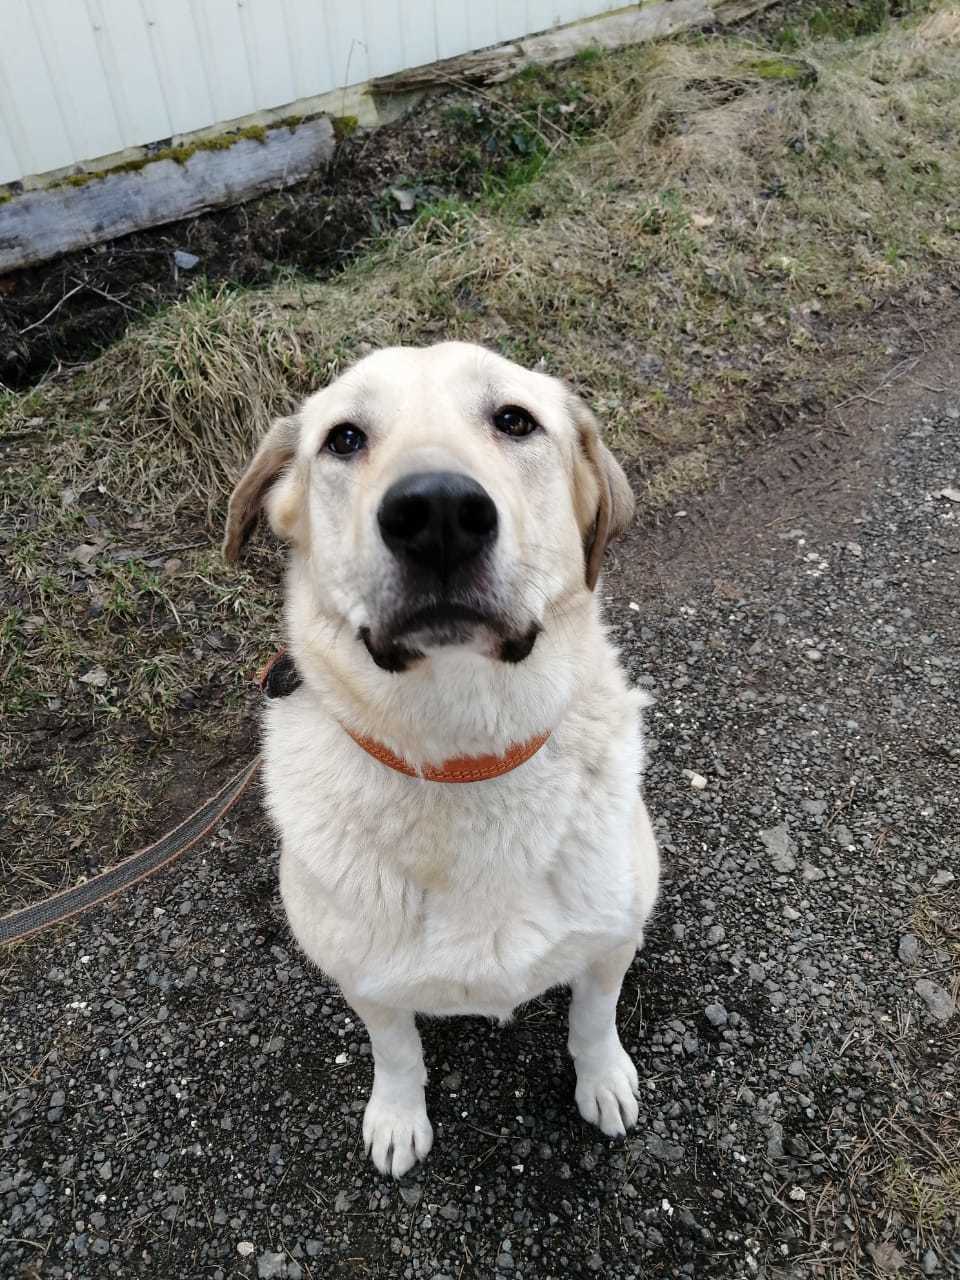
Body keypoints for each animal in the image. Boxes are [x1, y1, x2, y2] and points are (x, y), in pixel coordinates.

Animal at [225, 343, 660, 1177]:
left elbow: (593, 1018)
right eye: (344, 438)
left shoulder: (614, 936)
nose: (436, 516)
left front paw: (603, 1080)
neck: (465, 757)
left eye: (515, 421)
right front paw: (399, 1117)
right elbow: (397, 1052)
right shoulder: (366, 980)